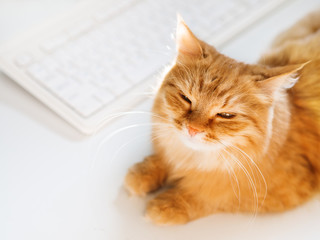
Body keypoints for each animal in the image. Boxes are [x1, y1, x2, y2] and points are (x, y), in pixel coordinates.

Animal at [124, 11, 318, 225]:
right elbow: (162, 159)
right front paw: (143, 173)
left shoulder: (276, 191)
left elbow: (209, 196)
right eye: (186, 99)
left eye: (225, 115)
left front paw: (167, 205)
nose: (193, 129)